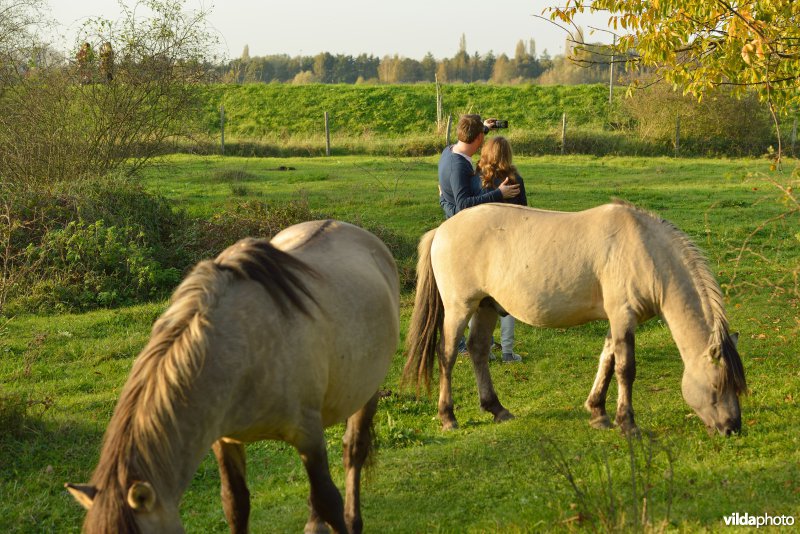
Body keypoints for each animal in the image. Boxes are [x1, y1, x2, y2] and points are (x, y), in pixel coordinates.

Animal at [67, 220, 400, 532]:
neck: (238, 353)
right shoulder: (224, 440)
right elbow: (235, 505)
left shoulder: (308, 434)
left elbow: (329, 500)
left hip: (366, 393)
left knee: (353, 452)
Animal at [404, 201, 748, 436]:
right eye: (716, 386)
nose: (732, 427)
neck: (646, 252)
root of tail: (442, 230)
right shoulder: (623, 316)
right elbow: (625, 369)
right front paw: (628, 424)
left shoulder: (616, 319)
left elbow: (607, 360)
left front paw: (598, 412)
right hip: (460, 308)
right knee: (448, 355)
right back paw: (448, 417)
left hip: (487, 306)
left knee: (477, 350)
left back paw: (497, 409)